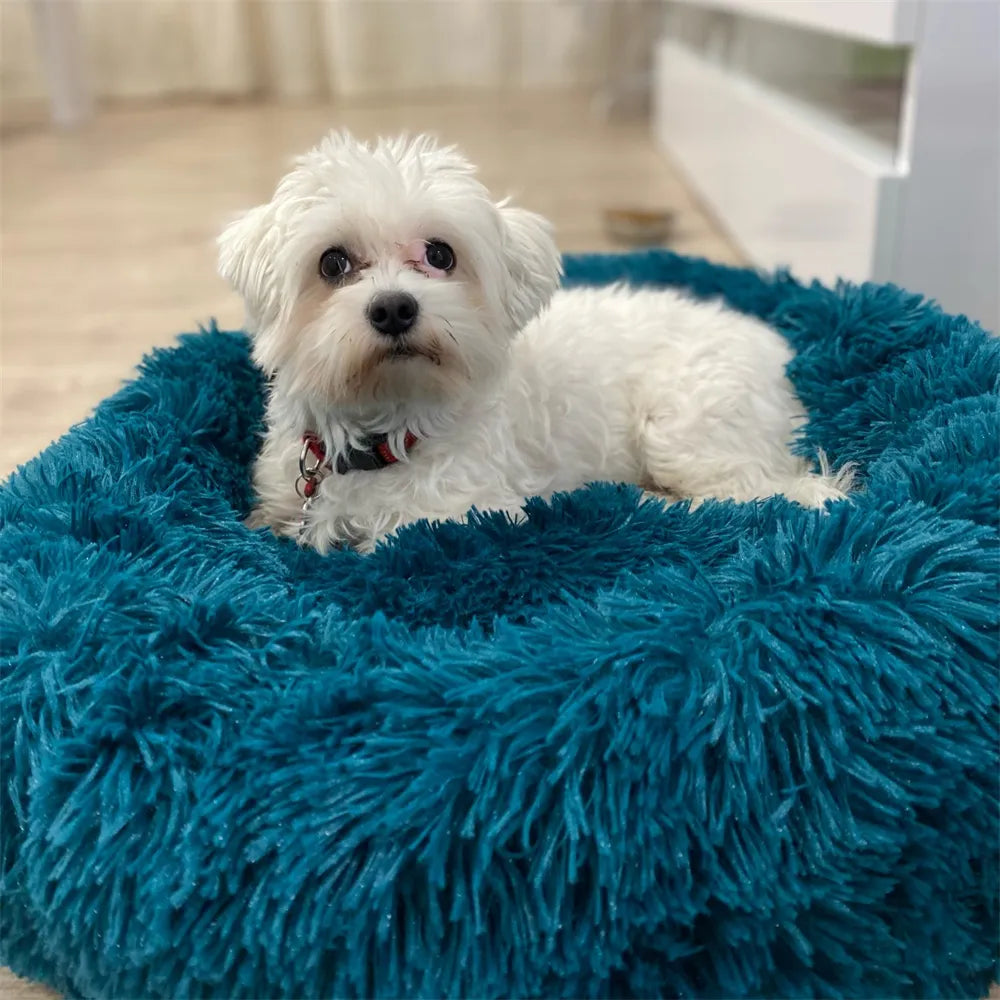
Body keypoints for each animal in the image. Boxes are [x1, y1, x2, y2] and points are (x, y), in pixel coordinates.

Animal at [221, 131, 852, 556]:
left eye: (441, 254)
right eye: (333, 263)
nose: (395, 307)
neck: (386, 430)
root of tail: (771, 346)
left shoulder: (460, 517)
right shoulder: (283, 500)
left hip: (688, 432)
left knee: (766, 495)